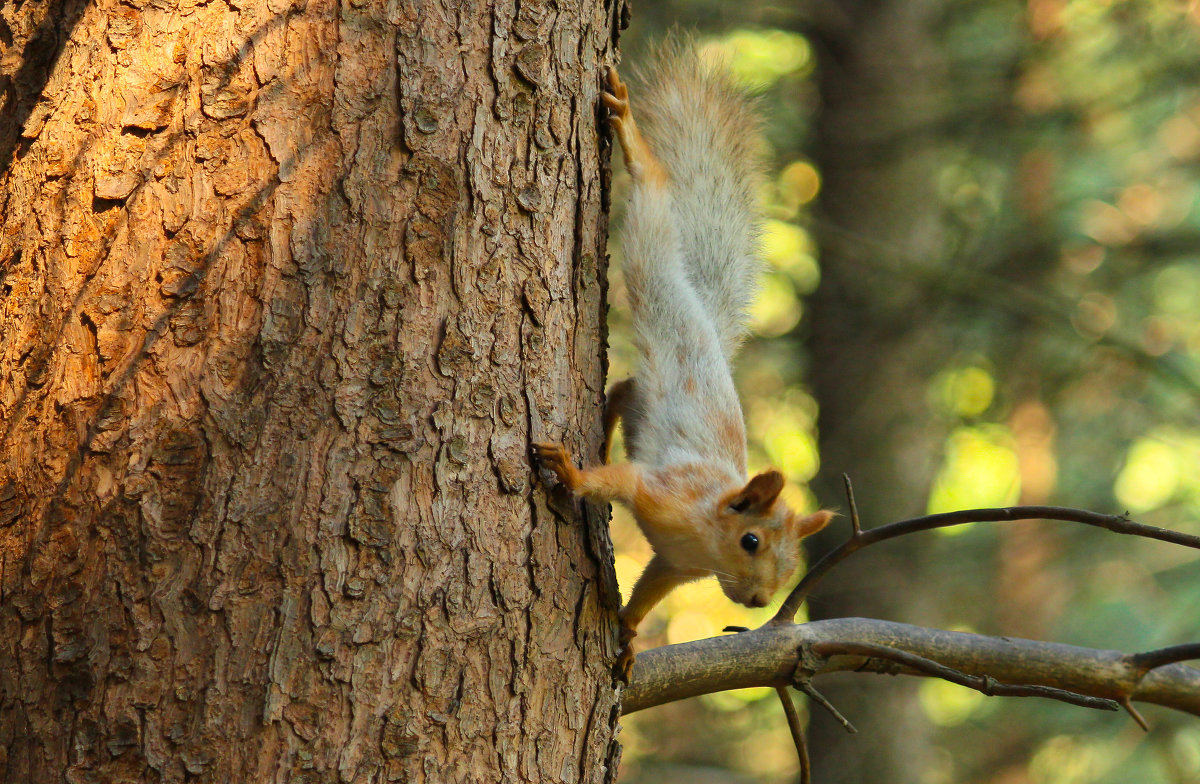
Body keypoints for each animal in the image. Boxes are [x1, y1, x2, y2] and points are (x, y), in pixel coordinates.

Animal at [537, 42, 835, 677]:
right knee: (654, 194)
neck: (705, 532)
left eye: (791, 563)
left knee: (622, 390)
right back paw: (630, 136)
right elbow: (613, 479)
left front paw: (627, 633)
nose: (757, 601)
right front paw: (572, 472)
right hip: (652, 265)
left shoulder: (675, 565)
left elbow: (650, 590)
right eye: (751, 541)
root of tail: (704, 323)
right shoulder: (661, 491)